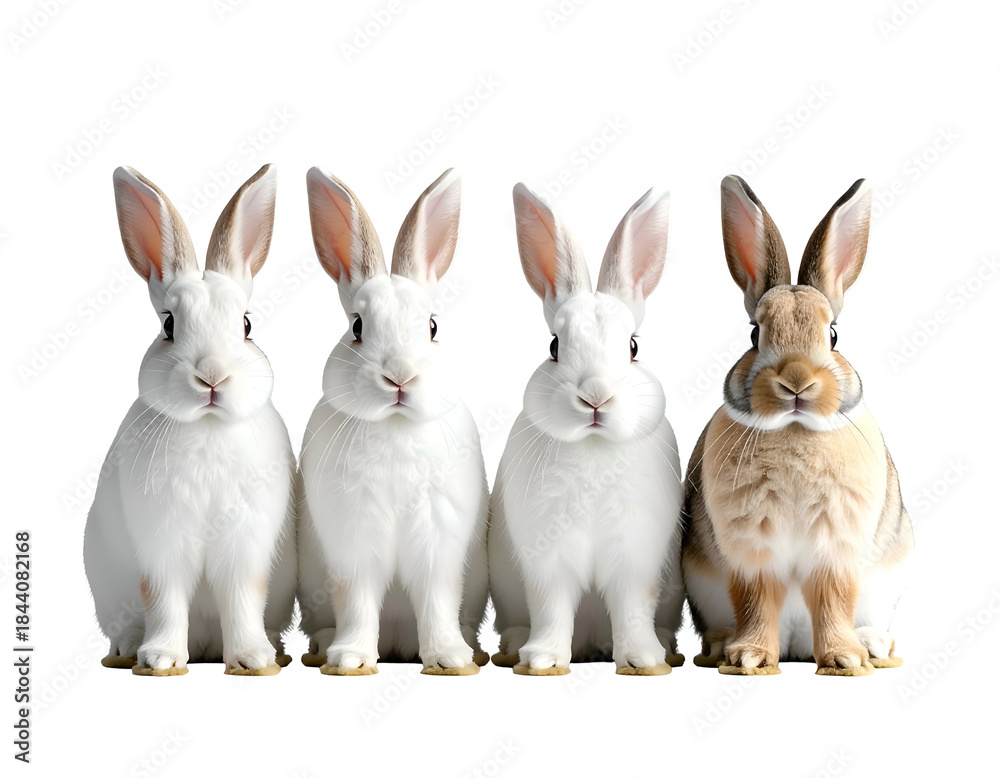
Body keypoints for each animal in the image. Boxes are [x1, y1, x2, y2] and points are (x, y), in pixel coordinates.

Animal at [83, 164, 296, 676]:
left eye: (247, 325)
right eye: (168, 325)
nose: (212, 376)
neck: (208, 427)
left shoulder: (246, 545)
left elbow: (243, 597)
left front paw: (253, 659)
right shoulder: (161, 543)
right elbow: (163, 597)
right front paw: (161, 659)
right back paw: (129, 651)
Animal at [296, 167, 489, 676]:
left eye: (434, 327)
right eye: (357, 327)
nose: (399, 375)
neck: (396, 426)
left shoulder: (440, 544)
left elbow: (438, 601)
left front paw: (449, 658)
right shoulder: (353, 542)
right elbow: (358, 601)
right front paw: (351, 659)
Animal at [488, 183, 684, 676]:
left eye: (633, 347)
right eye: (554, 346)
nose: (595, 396)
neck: (594, 446)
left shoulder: (637, 558)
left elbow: (633, 607)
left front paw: (642, 658)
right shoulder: (547, 559)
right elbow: (551, 607)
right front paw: (542, 660)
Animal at [682, 175, 915, 676]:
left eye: (833, 335)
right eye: (754, 334)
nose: (796, 382)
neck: (793, 429)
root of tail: (796, 648)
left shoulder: (836, 549)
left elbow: (832, 597)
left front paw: (844, 659)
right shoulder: (751, 551)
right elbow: (756, 599)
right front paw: (749, 657)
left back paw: (871, 646)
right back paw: (720, 646)